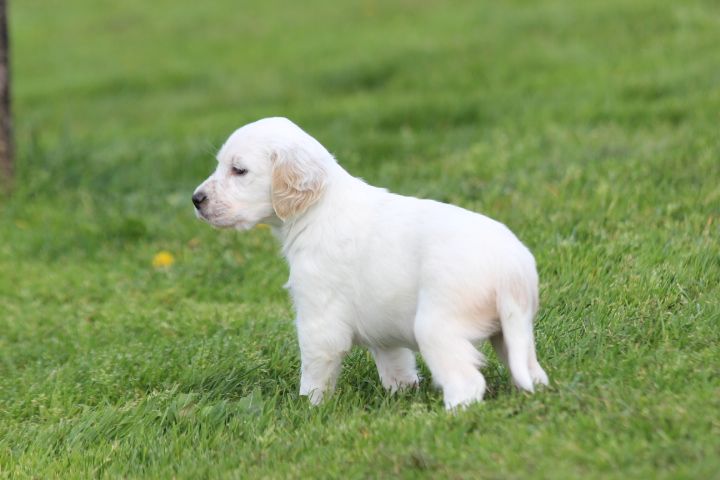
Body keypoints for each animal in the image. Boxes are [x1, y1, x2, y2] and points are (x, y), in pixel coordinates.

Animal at [193, 117, 548, 409]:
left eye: (239, 170)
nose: (196, 199)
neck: (319, 210)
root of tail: (511, 271)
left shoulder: (318, 318)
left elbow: (315, 373)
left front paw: (307, 408)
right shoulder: (383, 327)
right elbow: (396, 364)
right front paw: (401, 393)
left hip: (437, 326)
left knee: (467, 382)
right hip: (514, 332)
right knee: (532, 371)